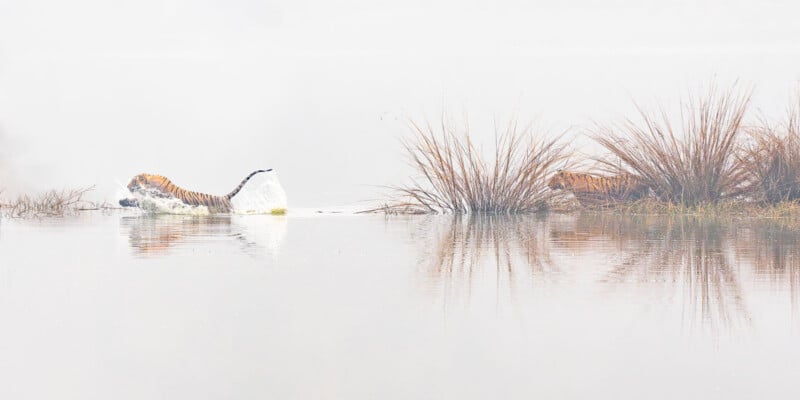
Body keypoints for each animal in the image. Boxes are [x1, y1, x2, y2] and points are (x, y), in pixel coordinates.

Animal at [119, 169, 272, 213]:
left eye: (133, 181)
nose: (127, 186)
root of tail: (225, 197)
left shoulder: (160, 198)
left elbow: (139, 201)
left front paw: (123, 201)